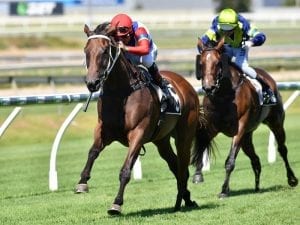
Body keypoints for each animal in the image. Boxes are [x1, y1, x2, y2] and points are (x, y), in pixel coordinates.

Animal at [75, 22, 211, 214]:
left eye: (104, 51)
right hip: (161, 140)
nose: (92, 83)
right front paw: (82, 182)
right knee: (175, 165)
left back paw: (181, 200)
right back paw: (186, 198)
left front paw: (116, 203)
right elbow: (92, 152)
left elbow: (125, 170)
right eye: (86, 50)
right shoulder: (103, 129)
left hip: (184, 137)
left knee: (183, 167)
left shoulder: (138, 134)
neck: (121, 93)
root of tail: (187, 85)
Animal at [192, 39, 298, 198]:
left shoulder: (240, 128)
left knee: (282, 149)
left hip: (276, 123)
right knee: (256, 159)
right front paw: (198, 174)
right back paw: (257, 186)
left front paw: (224, 190)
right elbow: (202, 144)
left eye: (218, 63)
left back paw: (291, 179)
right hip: (247, 137)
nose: (209, 87)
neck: (224, 95)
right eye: (201, 63)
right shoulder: (213, 126)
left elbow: (230, 161)